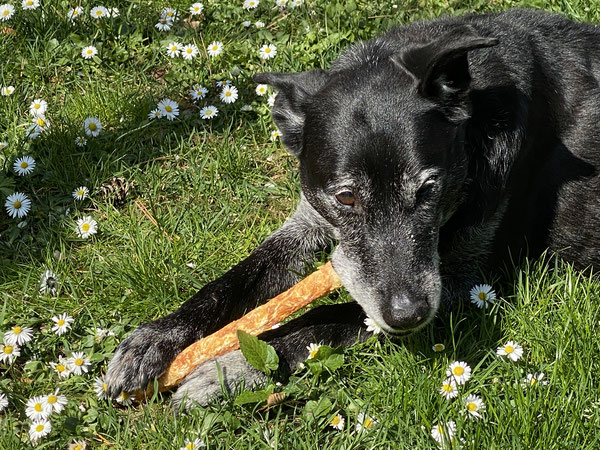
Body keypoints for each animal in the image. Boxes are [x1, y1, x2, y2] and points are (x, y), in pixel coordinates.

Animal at [106, 8, 600, 406]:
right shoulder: (308, 218)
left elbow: (329, 315)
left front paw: (234, 368)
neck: (476, 117)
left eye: (429, 189)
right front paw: (152, 340)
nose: (408, 316)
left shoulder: (468, 287)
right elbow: (230, 282)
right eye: (345, 198)